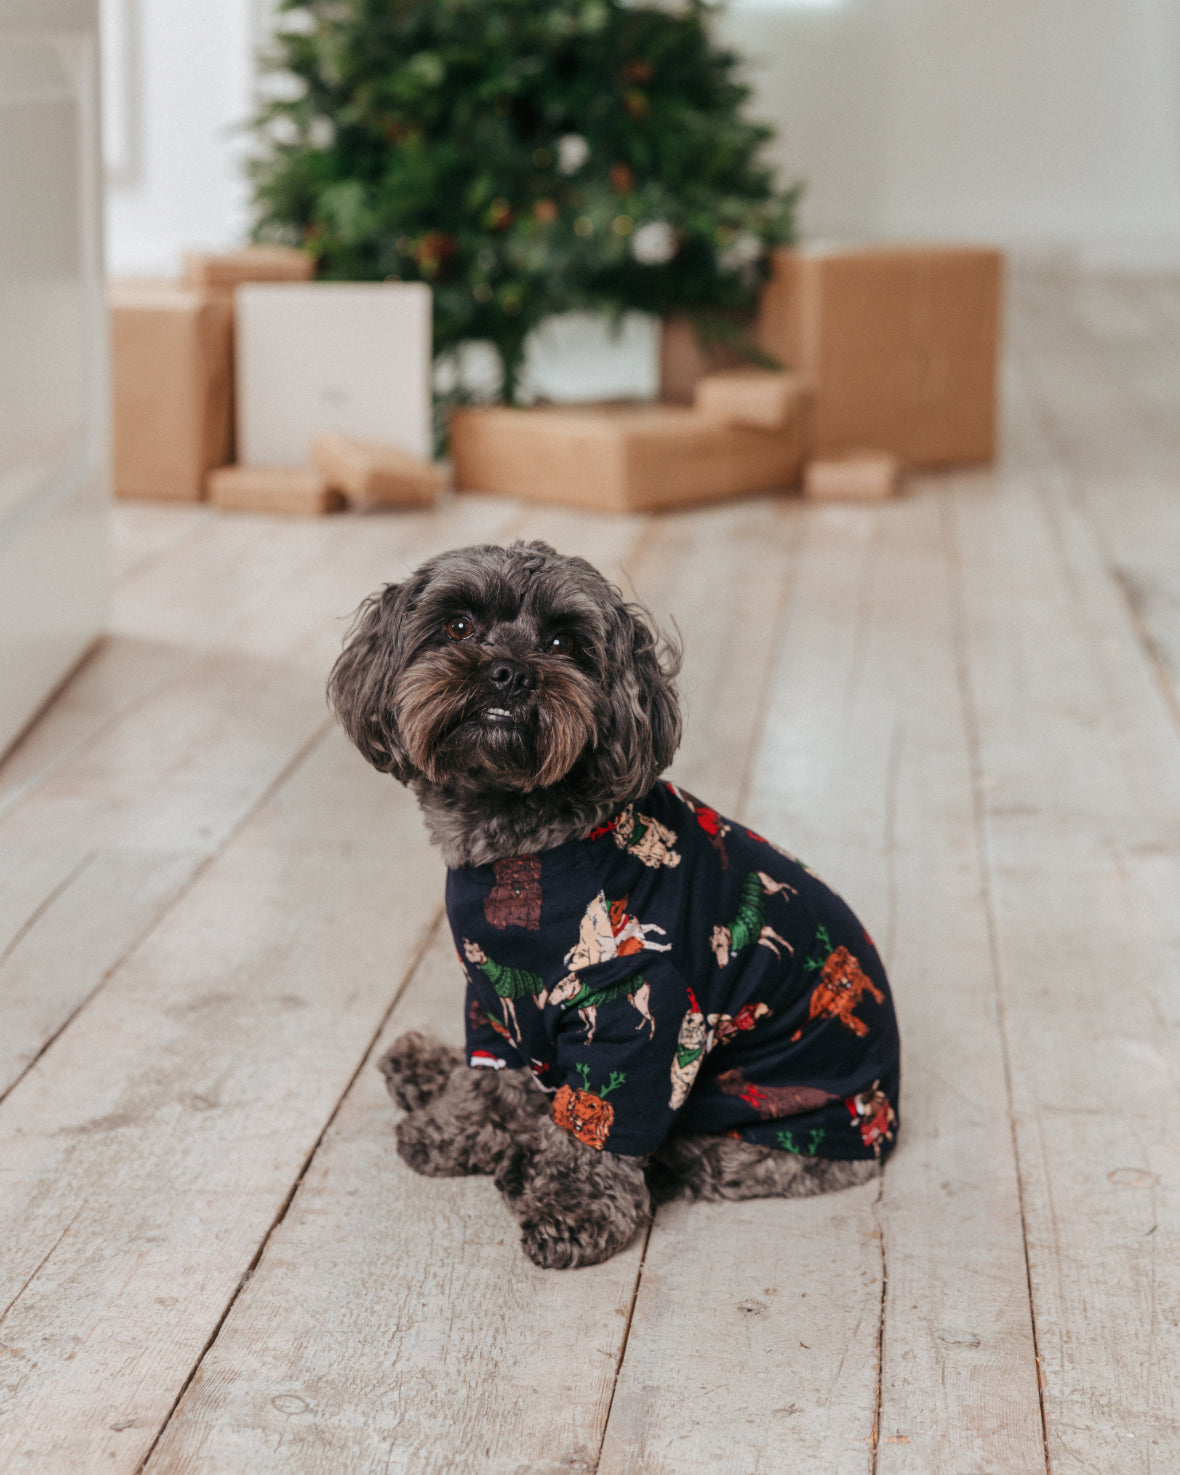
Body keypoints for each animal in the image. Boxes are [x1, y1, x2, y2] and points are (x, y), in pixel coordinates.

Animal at [327, 542, 896, 1268]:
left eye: (564, 642)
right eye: (458, 626)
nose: (508, 673)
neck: (527, 849)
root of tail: (889, 1108)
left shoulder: (639, 1025)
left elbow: (598, 1126)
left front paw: (572, 1207)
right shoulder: (492, 999)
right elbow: (491, 1079)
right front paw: (456, 1130)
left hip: (773, 1127)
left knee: (696, 1158)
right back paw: (427, 1071)